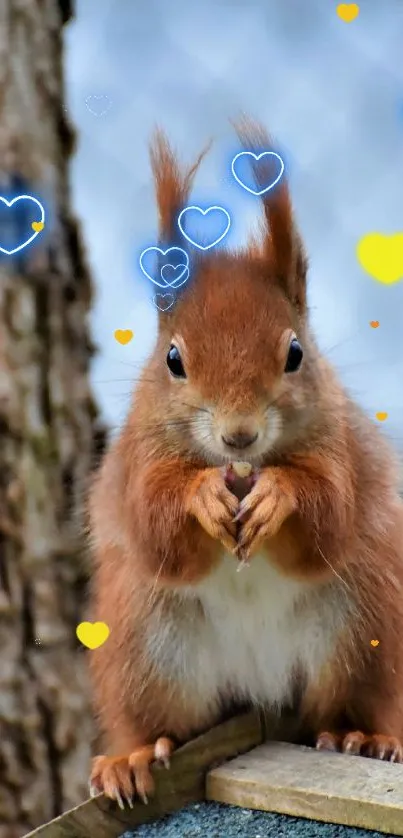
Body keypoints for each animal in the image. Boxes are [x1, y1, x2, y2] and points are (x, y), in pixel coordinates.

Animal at [87, 118, 403, 808]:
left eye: (295, 353)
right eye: (173, 359)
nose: (239, 436)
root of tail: (260, 691)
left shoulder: (340, 450)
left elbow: (328, 517)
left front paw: (279, 495)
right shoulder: (136, 461)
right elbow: (155, 524)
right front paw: (200, 495)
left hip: (364, 625)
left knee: (351, 704)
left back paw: (362, 737)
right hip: (144, 649)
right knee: (158, 723)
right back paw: (134, 758)